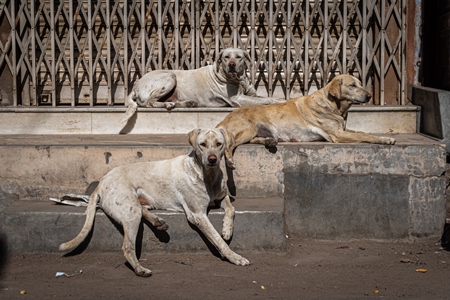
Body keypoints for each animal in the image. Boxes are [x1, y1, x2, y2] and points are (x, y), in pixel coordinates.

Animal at [59, 127, 250, 276]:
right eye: (202, 144)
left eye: (218, 144)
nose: (212, 159)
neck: (207, 175)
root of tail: (101, 182)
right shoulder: (198, 215)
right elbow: (218, 240)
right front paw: (235, 257)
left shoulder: (222, 197)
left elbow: (231, 209)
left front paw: (227, 230)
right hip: (130, 211)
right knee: (127, 247)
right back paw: (140, 269)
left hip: (138, 205)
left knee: (143, 211)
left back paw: (158, 222)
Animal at [216, 74, 396, 169]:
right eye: (352, 85)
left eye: (360, 84)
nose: (369, 96)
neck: (334, 105)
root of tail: (224, 119)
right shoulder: (337, 134)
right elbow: (365, 135)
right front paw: (385, 139)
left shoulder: (342, 130)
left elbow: (362, 132)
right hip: (248, 129)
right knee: (230, 144)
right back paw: (230, 159)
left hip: (254, 132)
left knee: (252, 140)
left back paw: (269, 141)